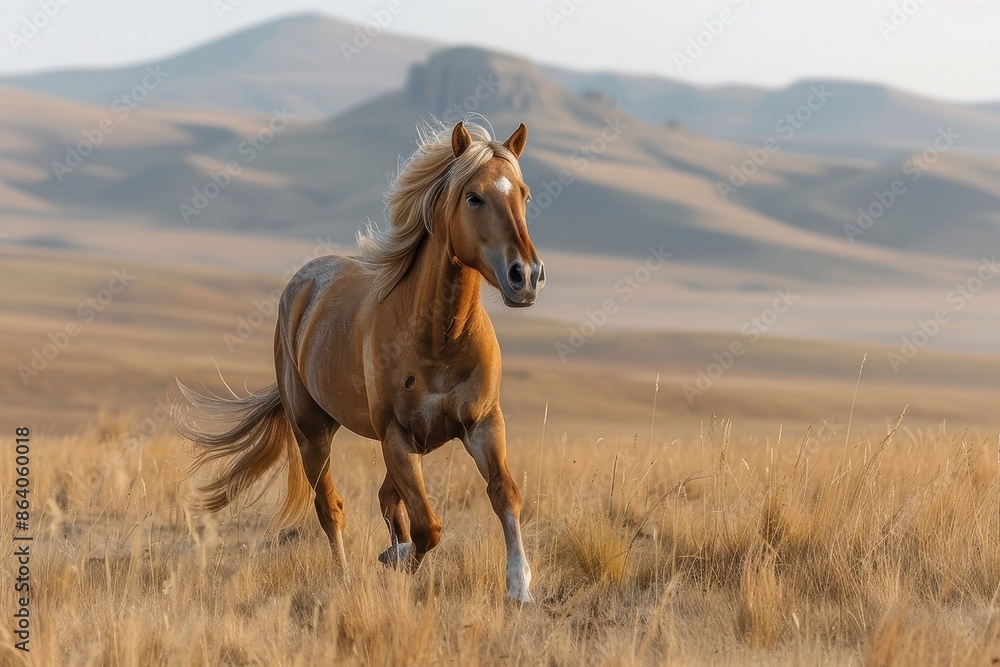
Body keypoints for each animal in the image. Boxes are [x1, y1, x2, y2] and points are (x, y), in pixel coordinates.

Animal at [173, 120, 545, 602]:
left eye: (524, 194)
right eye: (473, 196)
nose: (526, 277)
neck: (439, 337)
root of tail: (303, 284)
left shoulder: (482, 423)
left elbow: (504, 494)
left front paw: (519, 586)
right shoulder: (397, 437)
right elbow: (428, 527)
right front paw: (397, 560)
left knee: (387, 500)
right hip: (313, 433)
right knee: (331, 507)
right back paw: (346, 574)